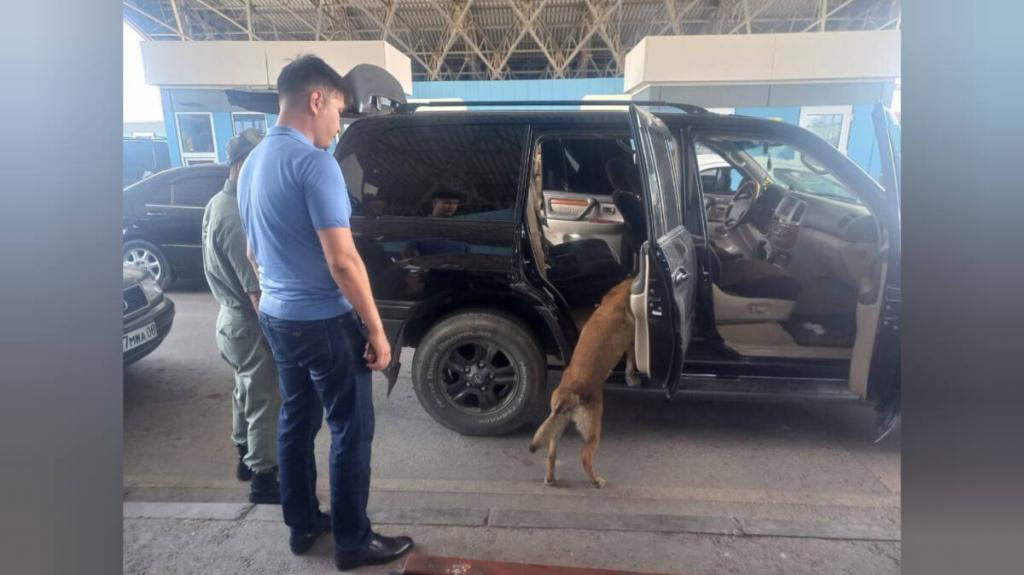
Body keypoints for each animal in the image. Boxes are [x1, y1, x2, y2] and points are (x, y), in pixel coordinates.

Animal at [532, 278, 634, 487]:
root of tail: (568, 393)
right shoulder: (631, 341)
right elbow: (631, 358)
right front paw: (631, 375)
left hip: (557, 427)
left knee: (551, 454)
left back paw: (550, 478)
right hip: (593, 430)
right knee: (585, 458)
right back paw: (597, 481)